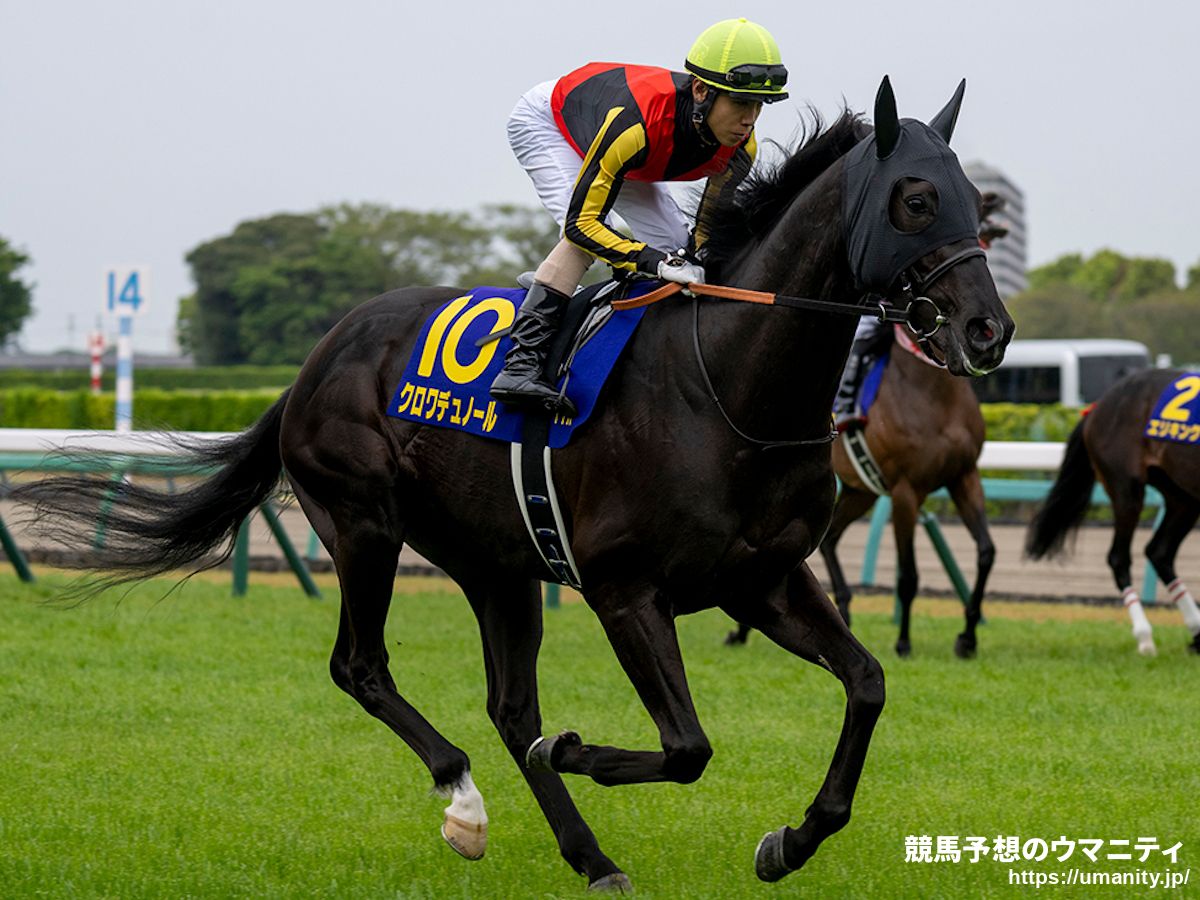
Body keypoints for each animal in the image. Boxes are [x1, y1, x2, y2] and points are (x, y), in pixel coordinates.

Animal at [14, 77, 1012, 890]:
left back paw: (591, 857)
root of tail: (317, 359)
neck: (725, 382)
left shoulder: (761, 578)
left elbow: (868, 685)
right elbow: (686, 746)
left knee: (505, 706)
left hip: (498, 563)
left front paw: (790, 841)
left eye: (976, 203)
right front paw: (577, 749)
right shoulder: (623, 589)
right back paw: (464, 803)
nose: (988, 330)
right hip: (364, 524)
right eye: (916, 198)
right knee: (361, 667)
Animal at [1026, 367, 1200, 656]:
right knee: (1119, 557)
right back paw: (1145, 637)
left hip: (1182, 495)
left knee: (1159, 552)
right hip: (1125, 487)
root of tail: (1098, 406)